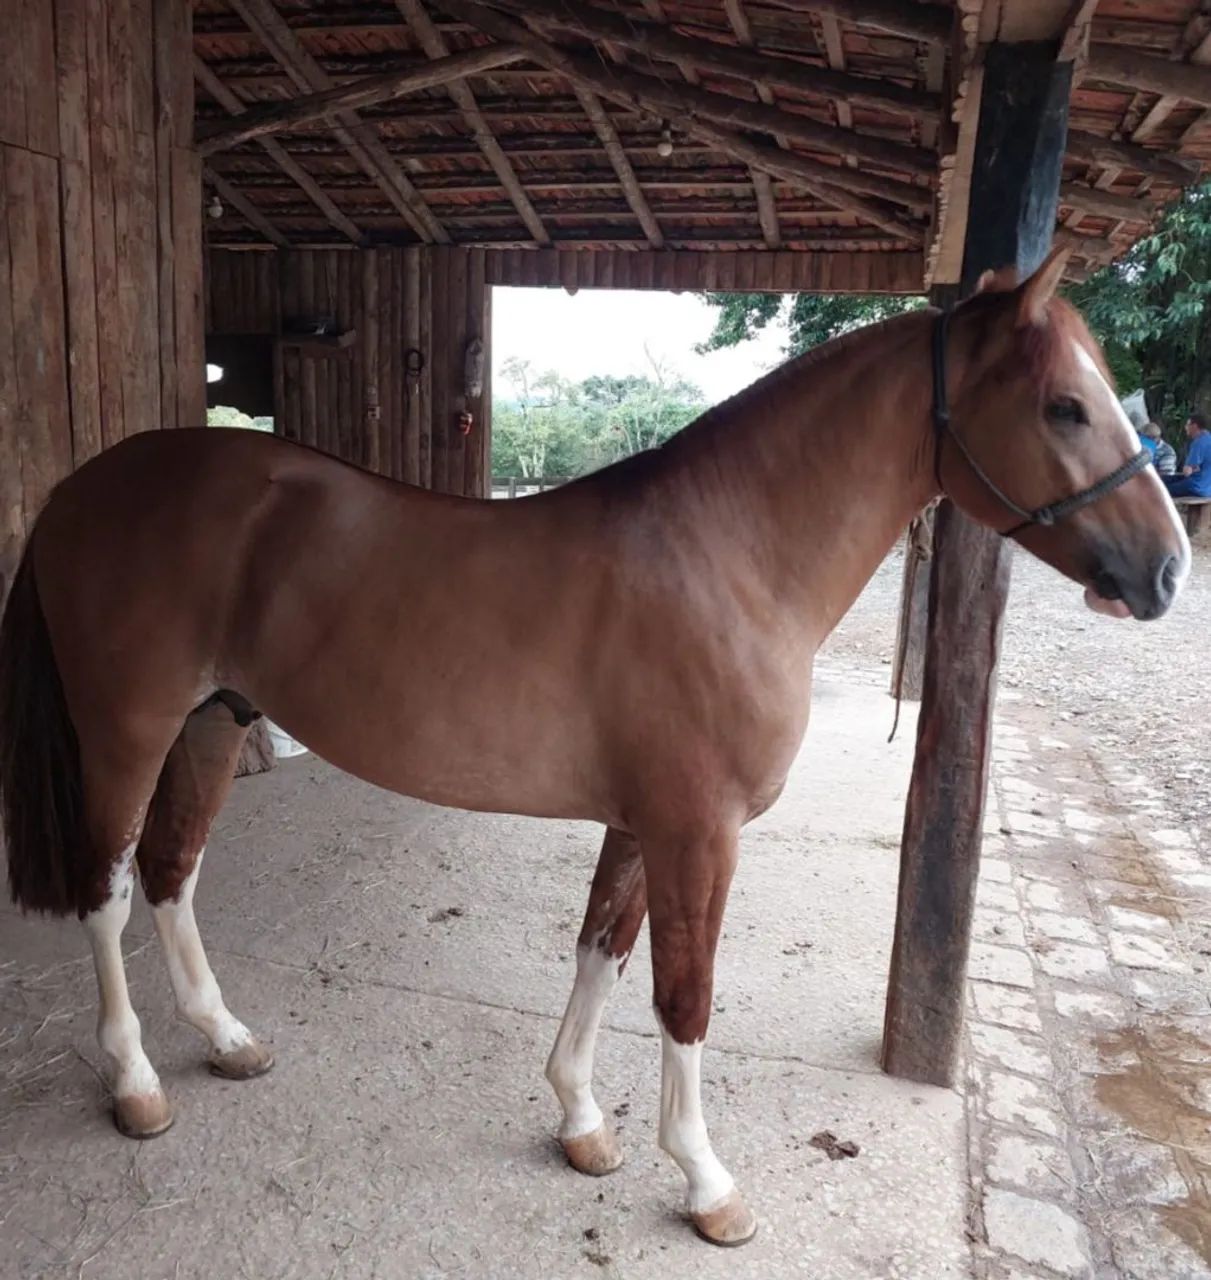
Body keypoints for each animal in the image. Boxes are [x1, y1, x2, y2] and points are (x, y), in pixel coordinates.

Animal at [0, 250, 1188, 1247]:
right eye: (1065, 404)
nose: (1168, 570)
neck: (731, 556)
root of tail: (78, 488)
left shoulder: (642, 822)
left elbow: (600, 952)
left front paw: (579, 1119)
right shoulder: (698, 833)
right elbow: (683, 996)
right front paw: (706, 1183)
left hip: (213, 720)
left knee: (171, 873)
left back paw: (226, 1038)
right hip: (128, 729)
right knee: (108, 887)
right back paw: (136, 1083)